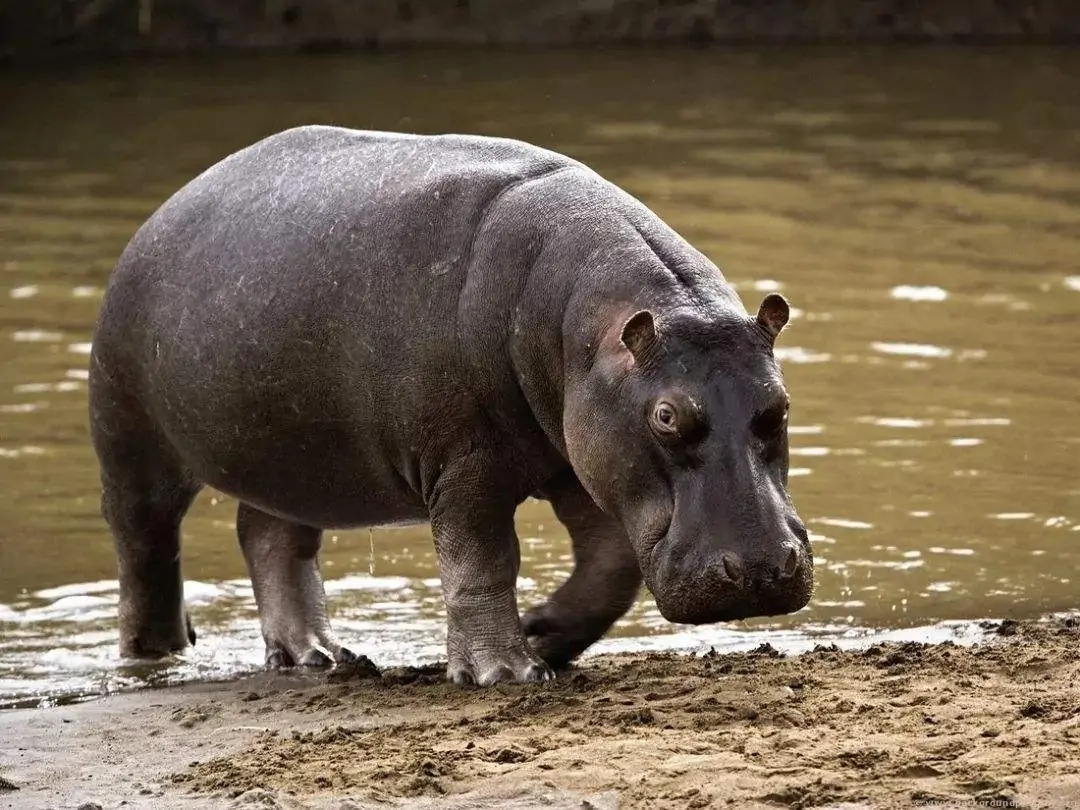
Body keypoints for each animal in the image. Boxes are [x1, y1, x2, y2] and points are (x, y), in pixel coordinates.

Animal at [88, 125, 812, 686]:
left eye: (779, 405)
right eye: (666, 416)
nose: (759, 568)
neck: (586, 327)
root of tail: (163, 212)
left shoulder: (582, 460)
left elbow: (610, 568)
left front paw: (541, 633)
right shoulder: (465, 465)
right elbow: (482, 561)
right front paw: (505, 673)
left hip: (291, 457)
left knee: (270, 536)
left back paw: (316, 656)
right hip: (131, 440)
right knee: (145, 551)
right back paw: (155, 657)